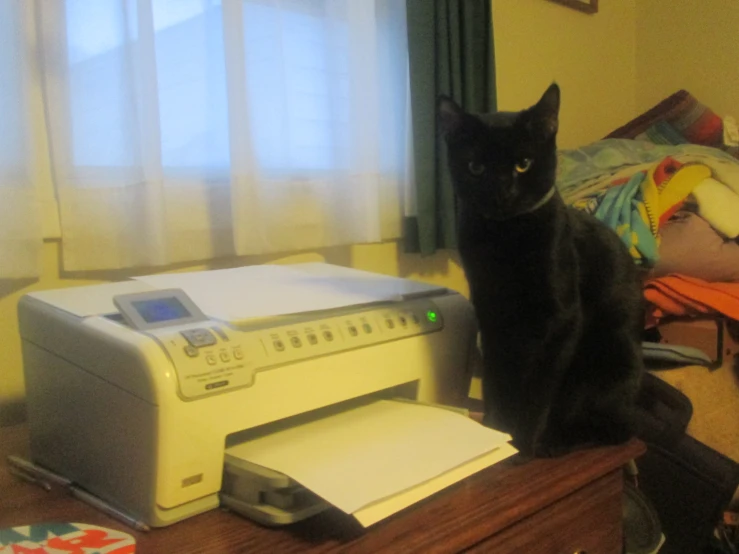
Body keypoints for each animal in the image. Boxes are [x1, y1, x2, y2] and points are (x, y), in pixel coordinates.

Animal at [440, 84, 640, 458]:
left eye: (523, 164)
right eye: (476, 167)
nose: (501, 192)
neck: (505, 239)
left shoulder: (560, 322)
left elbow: (537, 390)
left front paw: (523, 442)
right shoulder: (491, 317)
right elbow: (496, 379)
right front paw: (496, 429)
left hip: (607, 365)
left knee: (608, 428)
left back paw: (555, 443)